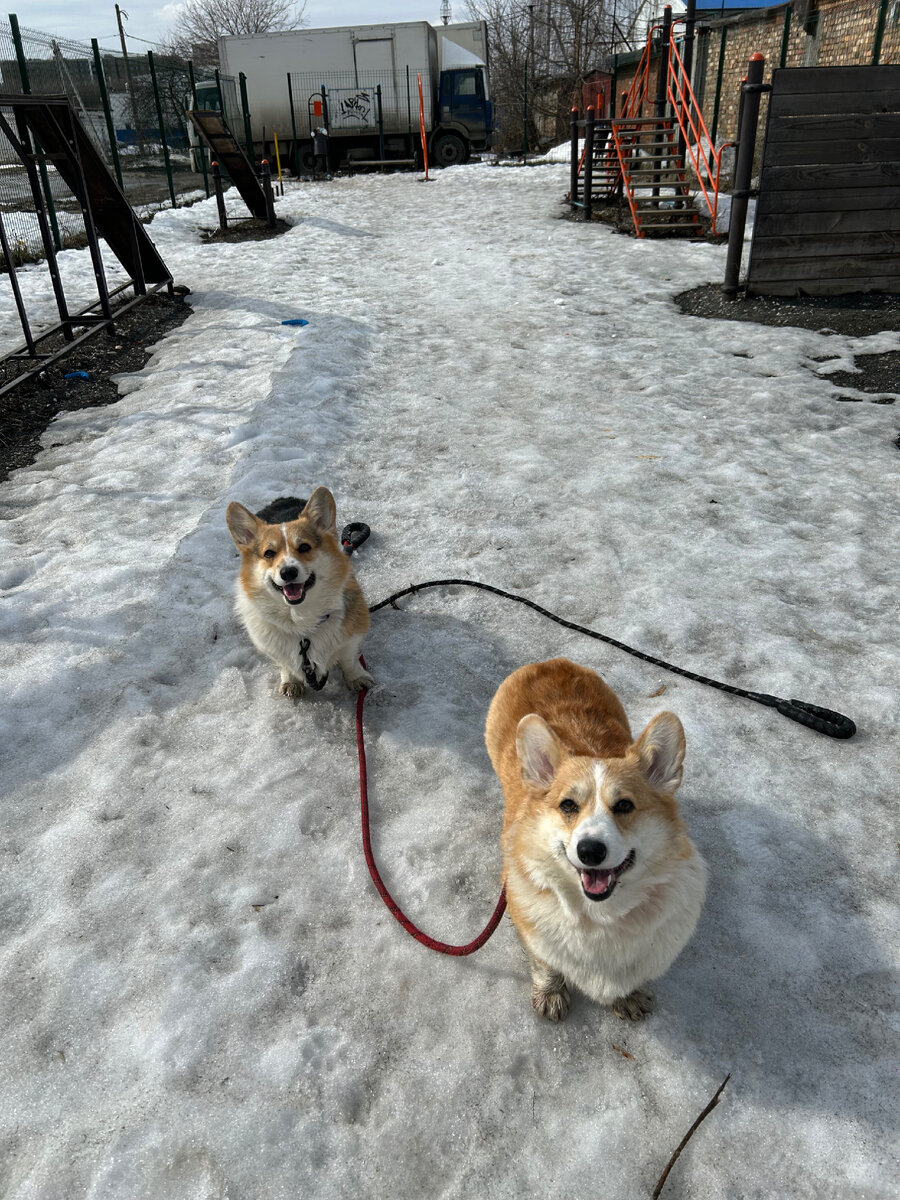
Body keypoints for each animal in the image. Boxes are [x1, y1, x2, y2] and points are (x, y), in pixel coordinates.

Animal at [229, 484, 376, 700]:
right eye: (269, 553)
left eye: (304, 547)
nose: (288, 572)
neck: (301, 622)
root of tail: (282, 498)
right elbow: (286, 664)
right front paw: (292, 681)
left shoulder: (352, 635)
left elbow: (349, 659)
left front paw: (357, 678)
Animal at [487, 657, 705, 1022]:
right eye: (568, 805)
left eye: (625, 805)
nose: (590, 851)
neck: (598, 915)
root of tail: (551, 661)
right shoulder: (530, 924)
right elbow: (546, 962)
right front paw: (551, 992)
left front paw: (628, 997)